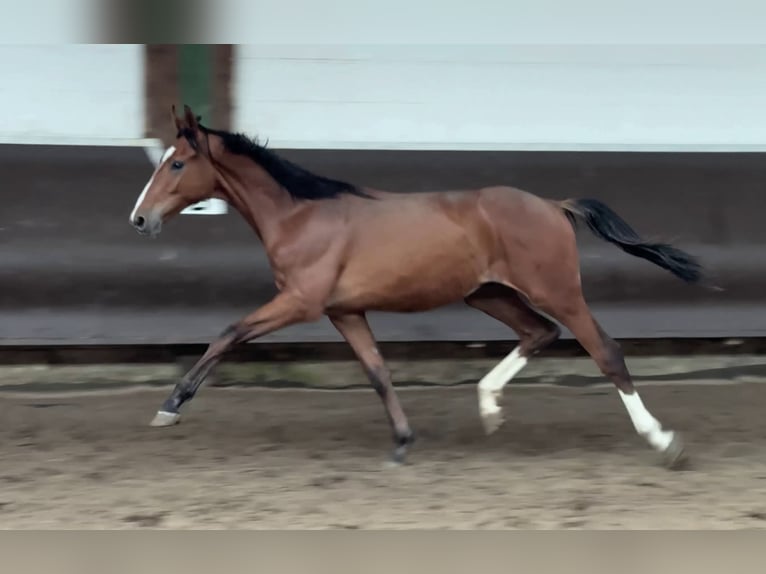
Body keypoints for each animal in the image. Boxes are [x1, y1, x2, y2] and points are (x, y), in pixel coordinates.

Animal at [130, 106, 704, 470]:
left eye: (177, 162)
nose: (139, 219)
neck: (301, 215)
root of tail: (554, 205)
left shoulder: (300, 302)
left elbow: (228, 333)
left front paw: (169, 407)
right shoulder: (344, 312)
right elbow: (378, 373)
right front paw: (403, 444)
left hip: (556, 290)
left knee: (605, 351)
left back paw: (665, 443)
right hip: (488, 293)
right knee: (540, 334)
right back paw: (489, 407)